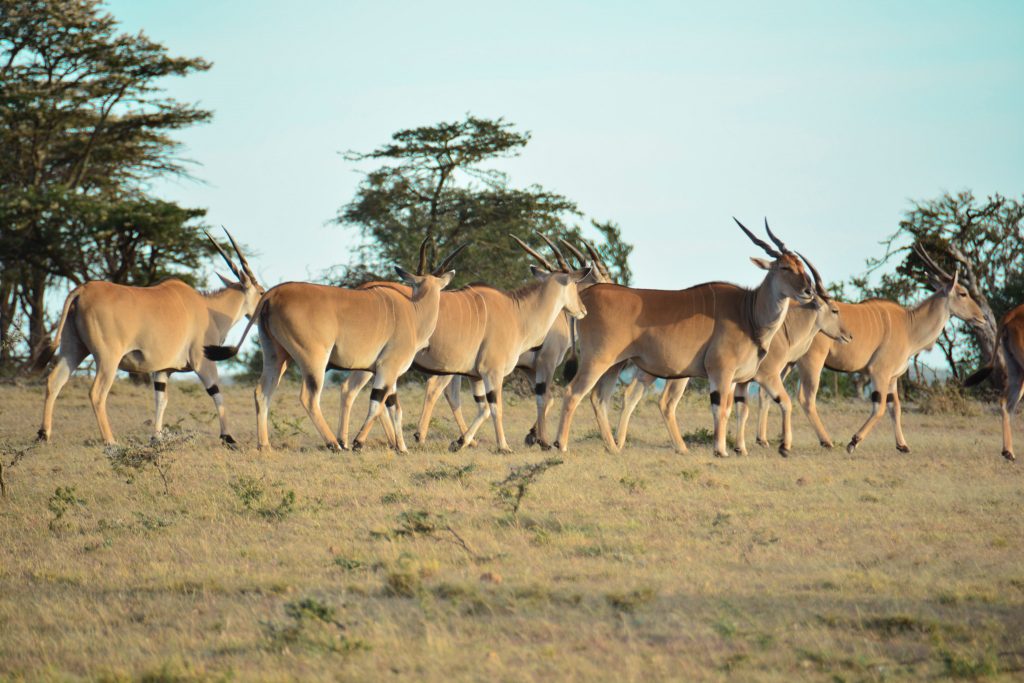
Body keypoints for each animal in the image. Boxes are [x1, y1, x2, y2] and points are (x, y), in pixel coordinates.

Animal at [38, 227, 264, 446]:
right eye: (261, 292)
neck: (208, 309)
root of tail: (82, 290)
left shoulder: (163, 370)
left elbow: (161, 400)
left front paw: (157, 438)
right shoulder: (203, 363)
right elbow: (217, 393)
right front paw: (228, 438)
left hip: (74, 350)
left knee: (54, 381)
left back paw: (43, 435)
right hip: (108, 359)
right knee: (97, 393)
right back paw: (110, 441)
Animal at [203, 240, 460, 454]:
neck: (413, 310)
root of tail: (273, 294)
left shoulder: (389, 374)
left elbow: (394, 407)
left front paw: (402, 448)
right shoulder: (388, 369)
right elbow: (378, 404)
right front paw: (358, 443)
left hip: (276, 357)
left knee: (262, 392)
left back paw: (265, 445)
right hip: (314, 360)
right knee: (308, 398)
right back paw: (334, 444)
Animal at [552, 219, 815, 458]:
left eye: (801, 266)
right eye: (784, 267)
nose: (809, 291)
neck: (748, 313)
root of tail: (587, 294)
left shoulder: (732, 378)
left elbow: (730, 408)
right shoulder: (721, 371)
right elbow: (720, 409)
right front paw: (722, 450)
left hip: (614, 366)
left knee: (599, 399)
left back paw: (614, 447)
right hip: (596, 361)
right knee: (573, 392)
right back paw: (561, 444)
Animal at [794, 245, 987, 454]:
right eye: (963, 293)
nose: (983, 317)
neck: (909, 325)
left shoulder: (893, 377)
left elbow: (895, 408)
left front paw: (902, 445)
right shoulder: (880, 372)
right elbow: (879, 408)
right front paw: (853, 442)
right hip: (812, 362)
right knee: (806, 399)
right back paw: (826, 441)